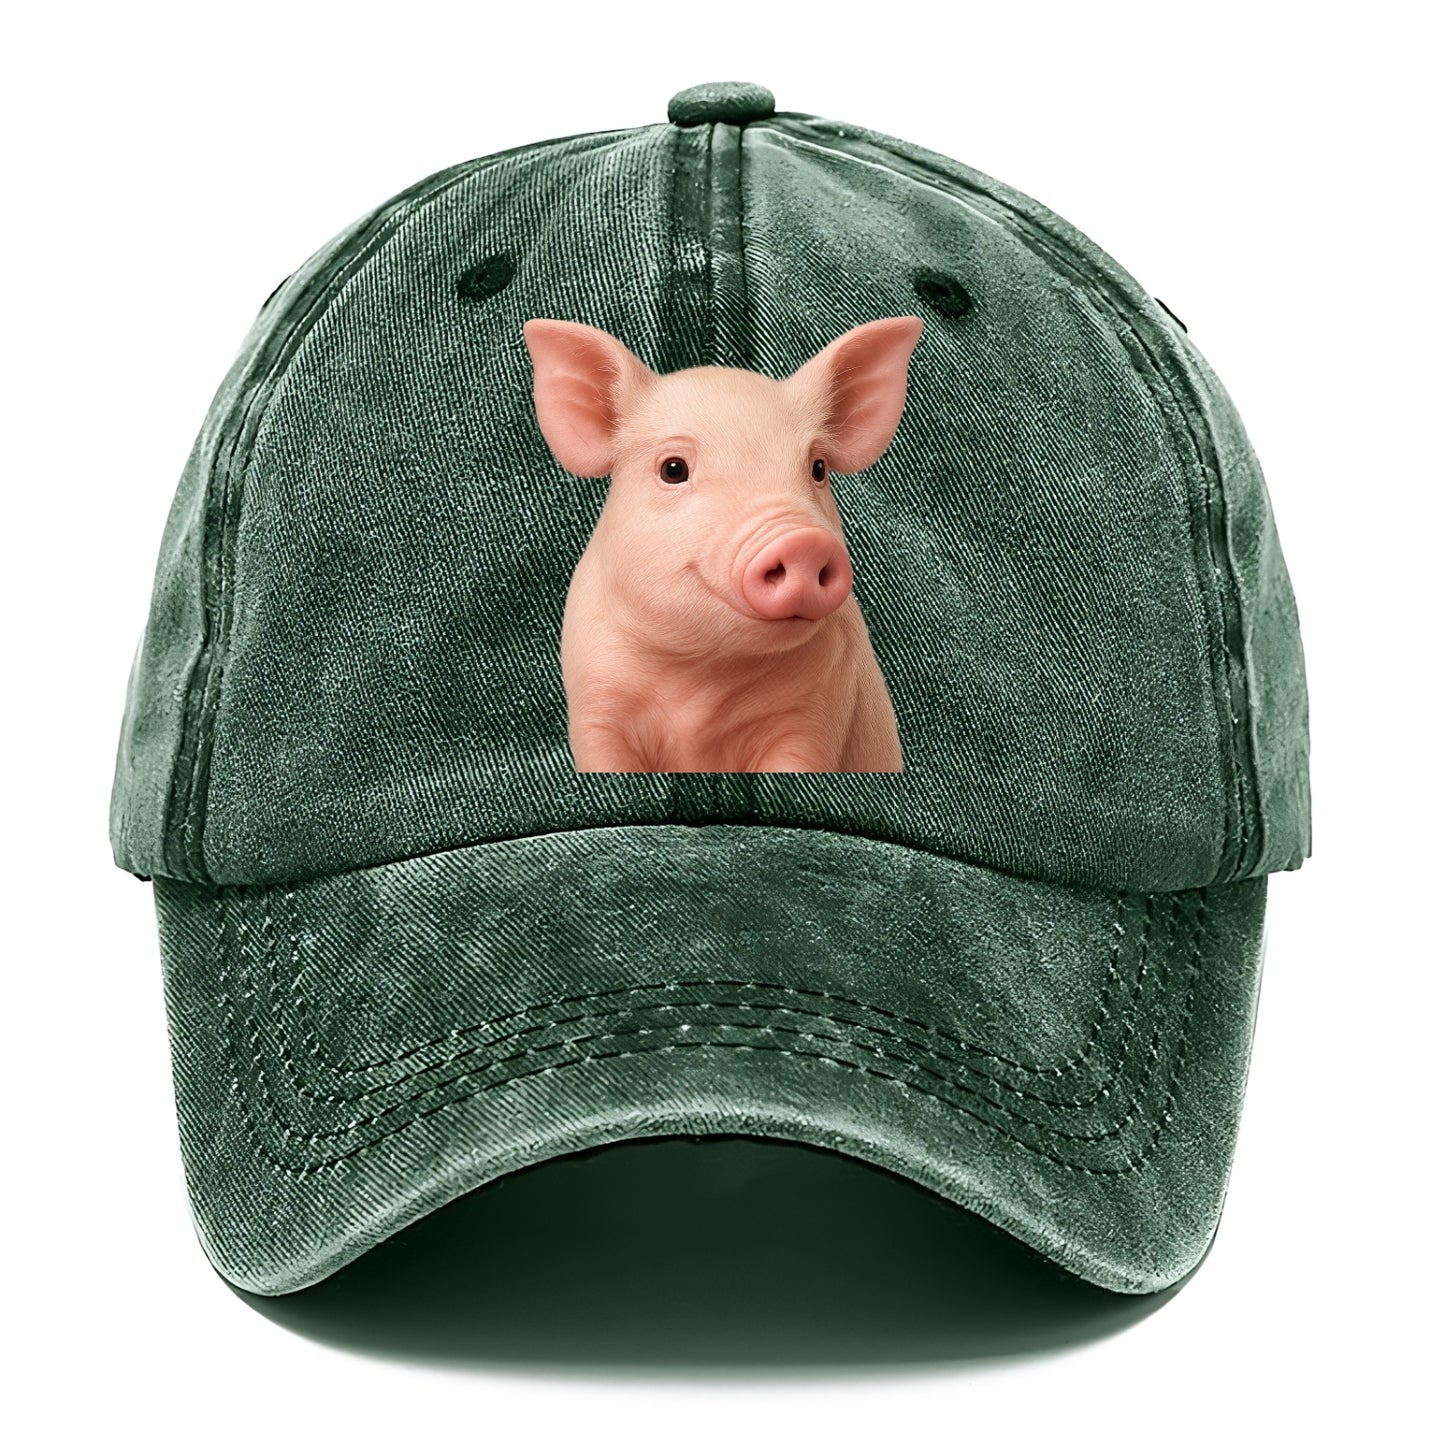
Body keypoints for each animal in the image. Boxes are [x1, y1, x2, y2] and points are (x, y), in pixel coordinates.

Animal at [521, 315, 924, 773]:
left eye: (818, 468)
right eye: (673, 469)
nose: (803, 543)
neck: (702, 674)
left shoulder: (815, 717)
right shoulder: (595, 705)